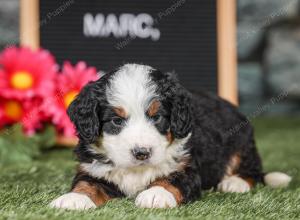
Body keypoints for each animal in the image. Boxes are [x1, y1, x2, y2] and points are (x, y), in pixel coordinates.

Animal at [49, 63, 290, 210]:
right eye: (116, 121)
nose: (142, 153)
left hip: (242, 140)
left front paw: (156, 194)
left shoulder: (186, 167)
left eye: (157, 117)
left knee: (252, 170)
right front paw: (74, 199)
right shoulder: (92, 168)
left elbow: (172, 179)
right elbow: (86, 184)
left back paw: (235, 182)